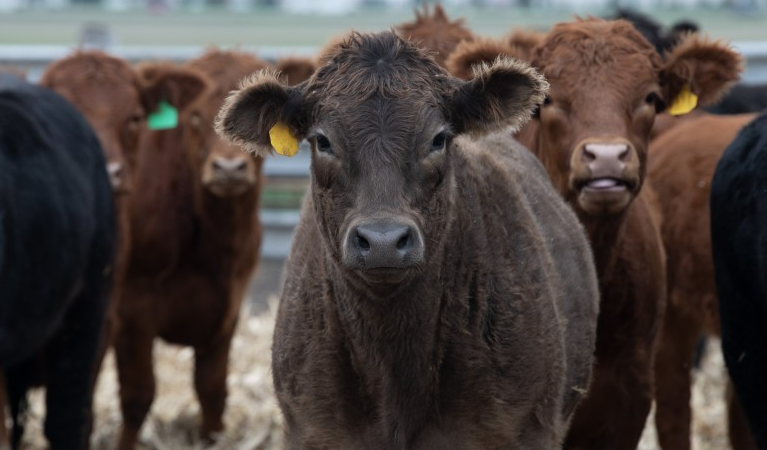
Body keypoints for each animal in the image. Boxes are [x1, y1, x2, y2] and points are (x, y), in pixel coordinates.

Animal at [112, 55, 264, 450]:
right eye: (195, 116)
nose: (229, 169)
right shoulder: (132, 312)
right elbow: (137, 397)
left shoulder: (228, 310)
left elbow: (212, 392)